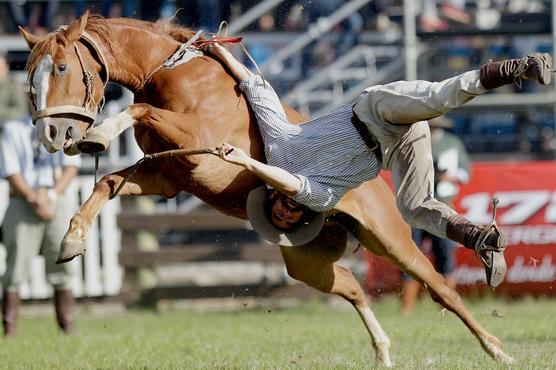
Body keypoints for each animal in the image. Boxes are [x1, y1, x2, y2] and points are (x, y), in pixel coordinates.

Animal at [19, 13, 516, 364]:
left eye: (61, 67)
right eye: (29, 78)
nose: (52, 134)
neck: (174, 76)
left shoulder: (196, 147)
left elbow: (139, 111)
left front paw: (101, 134)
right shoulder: (168, 175)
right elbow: (107, 181)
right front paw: (71, 240)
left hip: (390, 238)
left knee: (440, 287)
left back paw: (497, 343)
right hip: (306, 261)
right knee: (353, 287)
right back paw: (383, 350)